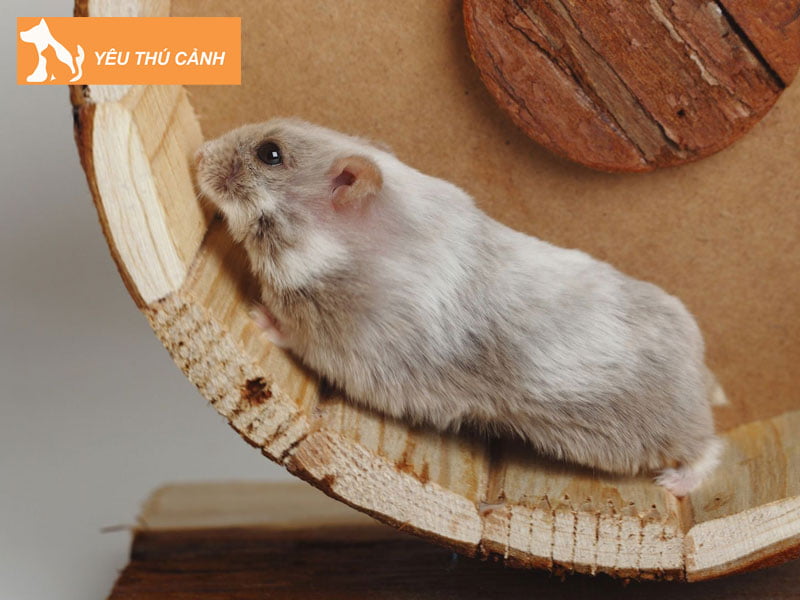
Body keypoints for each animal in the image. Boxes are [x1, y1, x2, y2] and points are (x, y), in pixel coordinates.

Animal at [196, 118, 722, 497]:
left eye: (270, 154)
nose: (197, 153)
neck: (342, 252)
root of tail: (701, 371)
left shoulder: (347, 348)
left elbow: (293, 333)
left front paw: (256, 315)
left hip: (663, 428)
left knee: (708, 446)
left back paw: (674, 484)